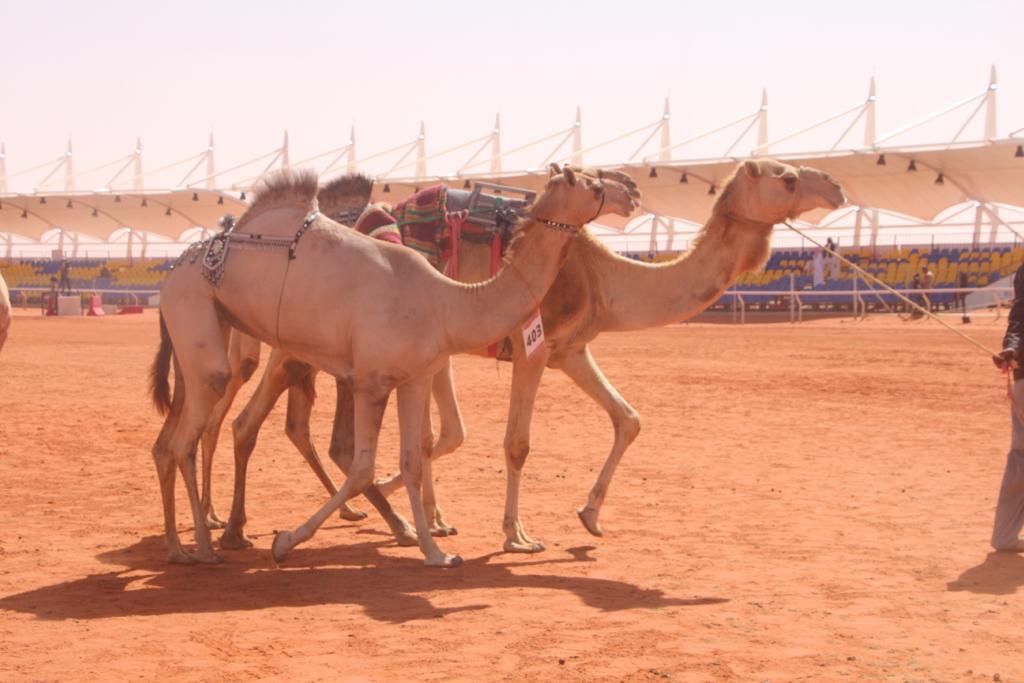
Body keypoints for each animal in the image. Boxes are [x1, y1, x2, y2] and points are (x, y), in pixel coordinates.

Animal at [148, 165, 638, 565]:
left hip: (205, 329)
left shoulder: (414, 378)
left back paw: (179, 546)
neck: (447, 301)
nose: (631, 190)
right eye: (594, 184)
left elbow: (412, 461)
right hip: (200, 314)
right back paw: (206, 546)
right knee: (193, 434)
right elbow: (364, 466)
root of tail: (173, 272)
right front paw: (286, 541)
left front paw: (436, 552)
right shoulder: (371, 380)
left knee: (170, 440)